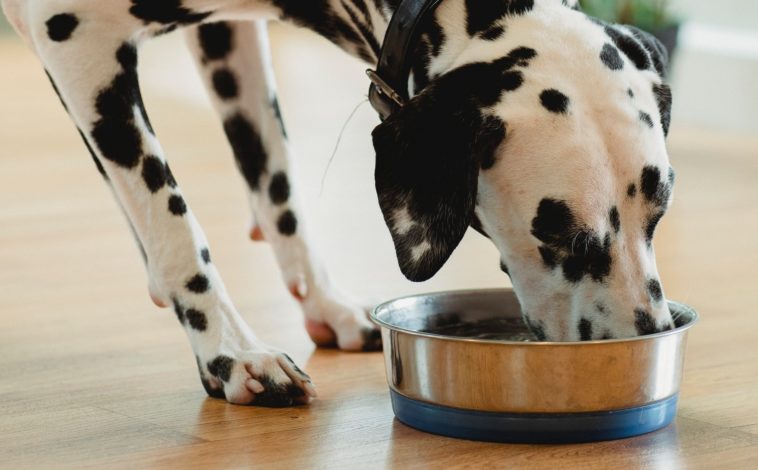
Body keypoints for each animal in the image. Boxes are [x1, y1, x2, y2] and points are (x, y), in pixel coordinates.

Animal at [0, 0, 676, 406]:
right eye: (560, 233)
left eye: (659, 214)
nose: (645, 340)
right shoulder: (74, 35)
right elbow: (172, 220)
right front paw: (230, 351)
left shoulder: (230, 33)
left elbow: (277, 181)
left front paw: (322, 302)